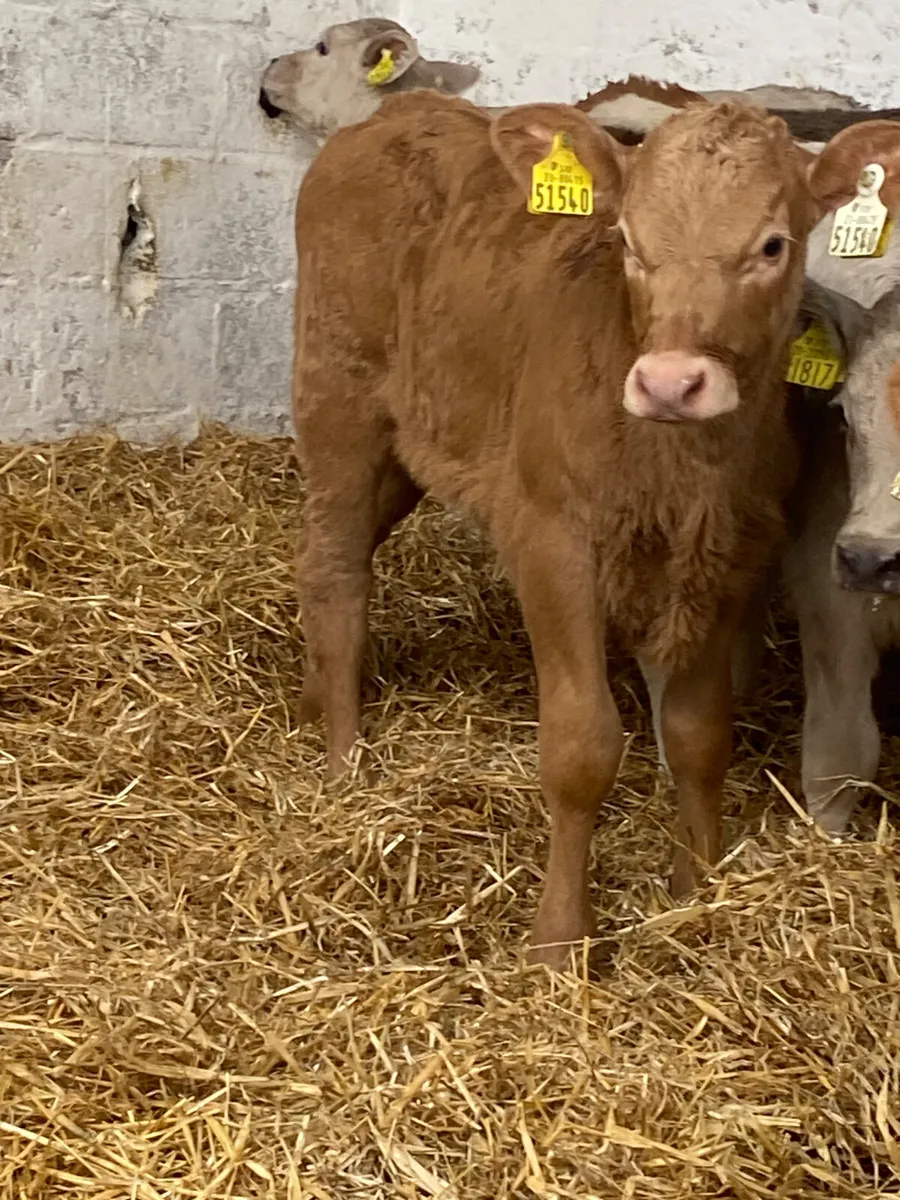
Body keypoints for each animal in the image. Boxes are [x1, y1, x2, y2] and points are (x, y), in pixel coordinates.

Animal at [290, 89, 894, 967]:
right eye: (629, 242)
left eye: (772, 244)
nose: (672, 382)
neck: (678, 468)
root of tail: (405, 108)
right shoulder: (552, 543)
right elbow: (581, 748)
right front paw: (558, 940)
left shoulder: (730, 556)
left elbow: (700, 735)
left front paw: (697, 888)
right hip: (338, 402)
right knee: (335, 568)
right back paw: (343, 763)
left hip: (407, 446)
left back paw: (311, 704)